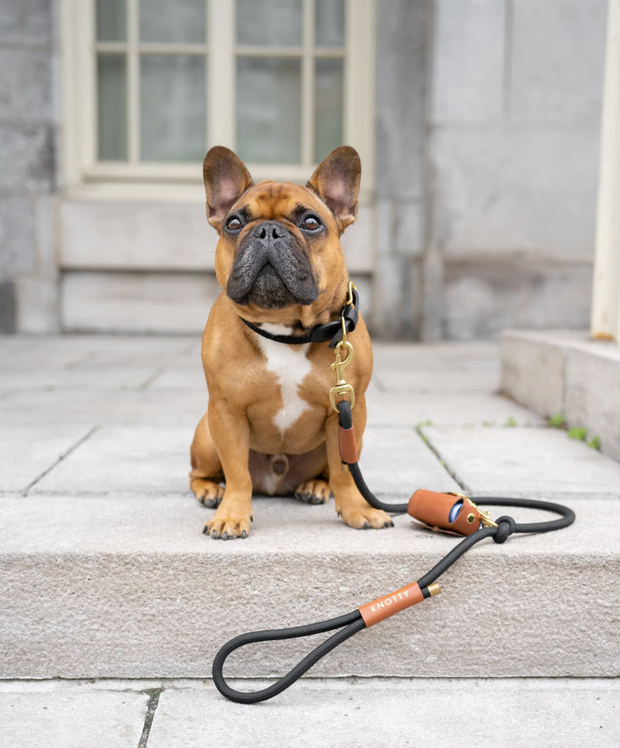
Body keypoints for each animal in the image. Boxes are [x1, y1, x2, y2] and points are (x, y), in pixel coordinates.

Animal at [190, 145, 392, 536]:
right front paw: (231, 514)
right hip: (206, 433)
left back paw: (315, 487)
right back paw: (209, 491)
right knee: (201, 472)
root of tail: (277, 482)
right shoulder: (225, 412)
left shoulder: (349, 410)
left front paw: (357, 509)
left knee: (331, 470)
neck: (285, 329)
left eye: (311, 223)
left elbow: (345, 471)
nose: (268, 231)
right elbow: (236, 472)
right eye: (233, 223)